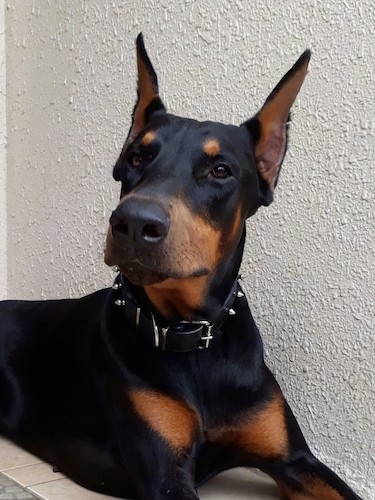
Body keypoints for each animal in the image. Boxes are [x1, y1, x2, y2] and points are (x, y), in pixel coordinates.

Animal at [0, 35, 364, 500]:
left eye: (221, 170)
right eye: (136, 158)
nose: (134, 223)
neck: (193, 338)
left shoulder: (296, 459)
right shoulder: (165, 472)